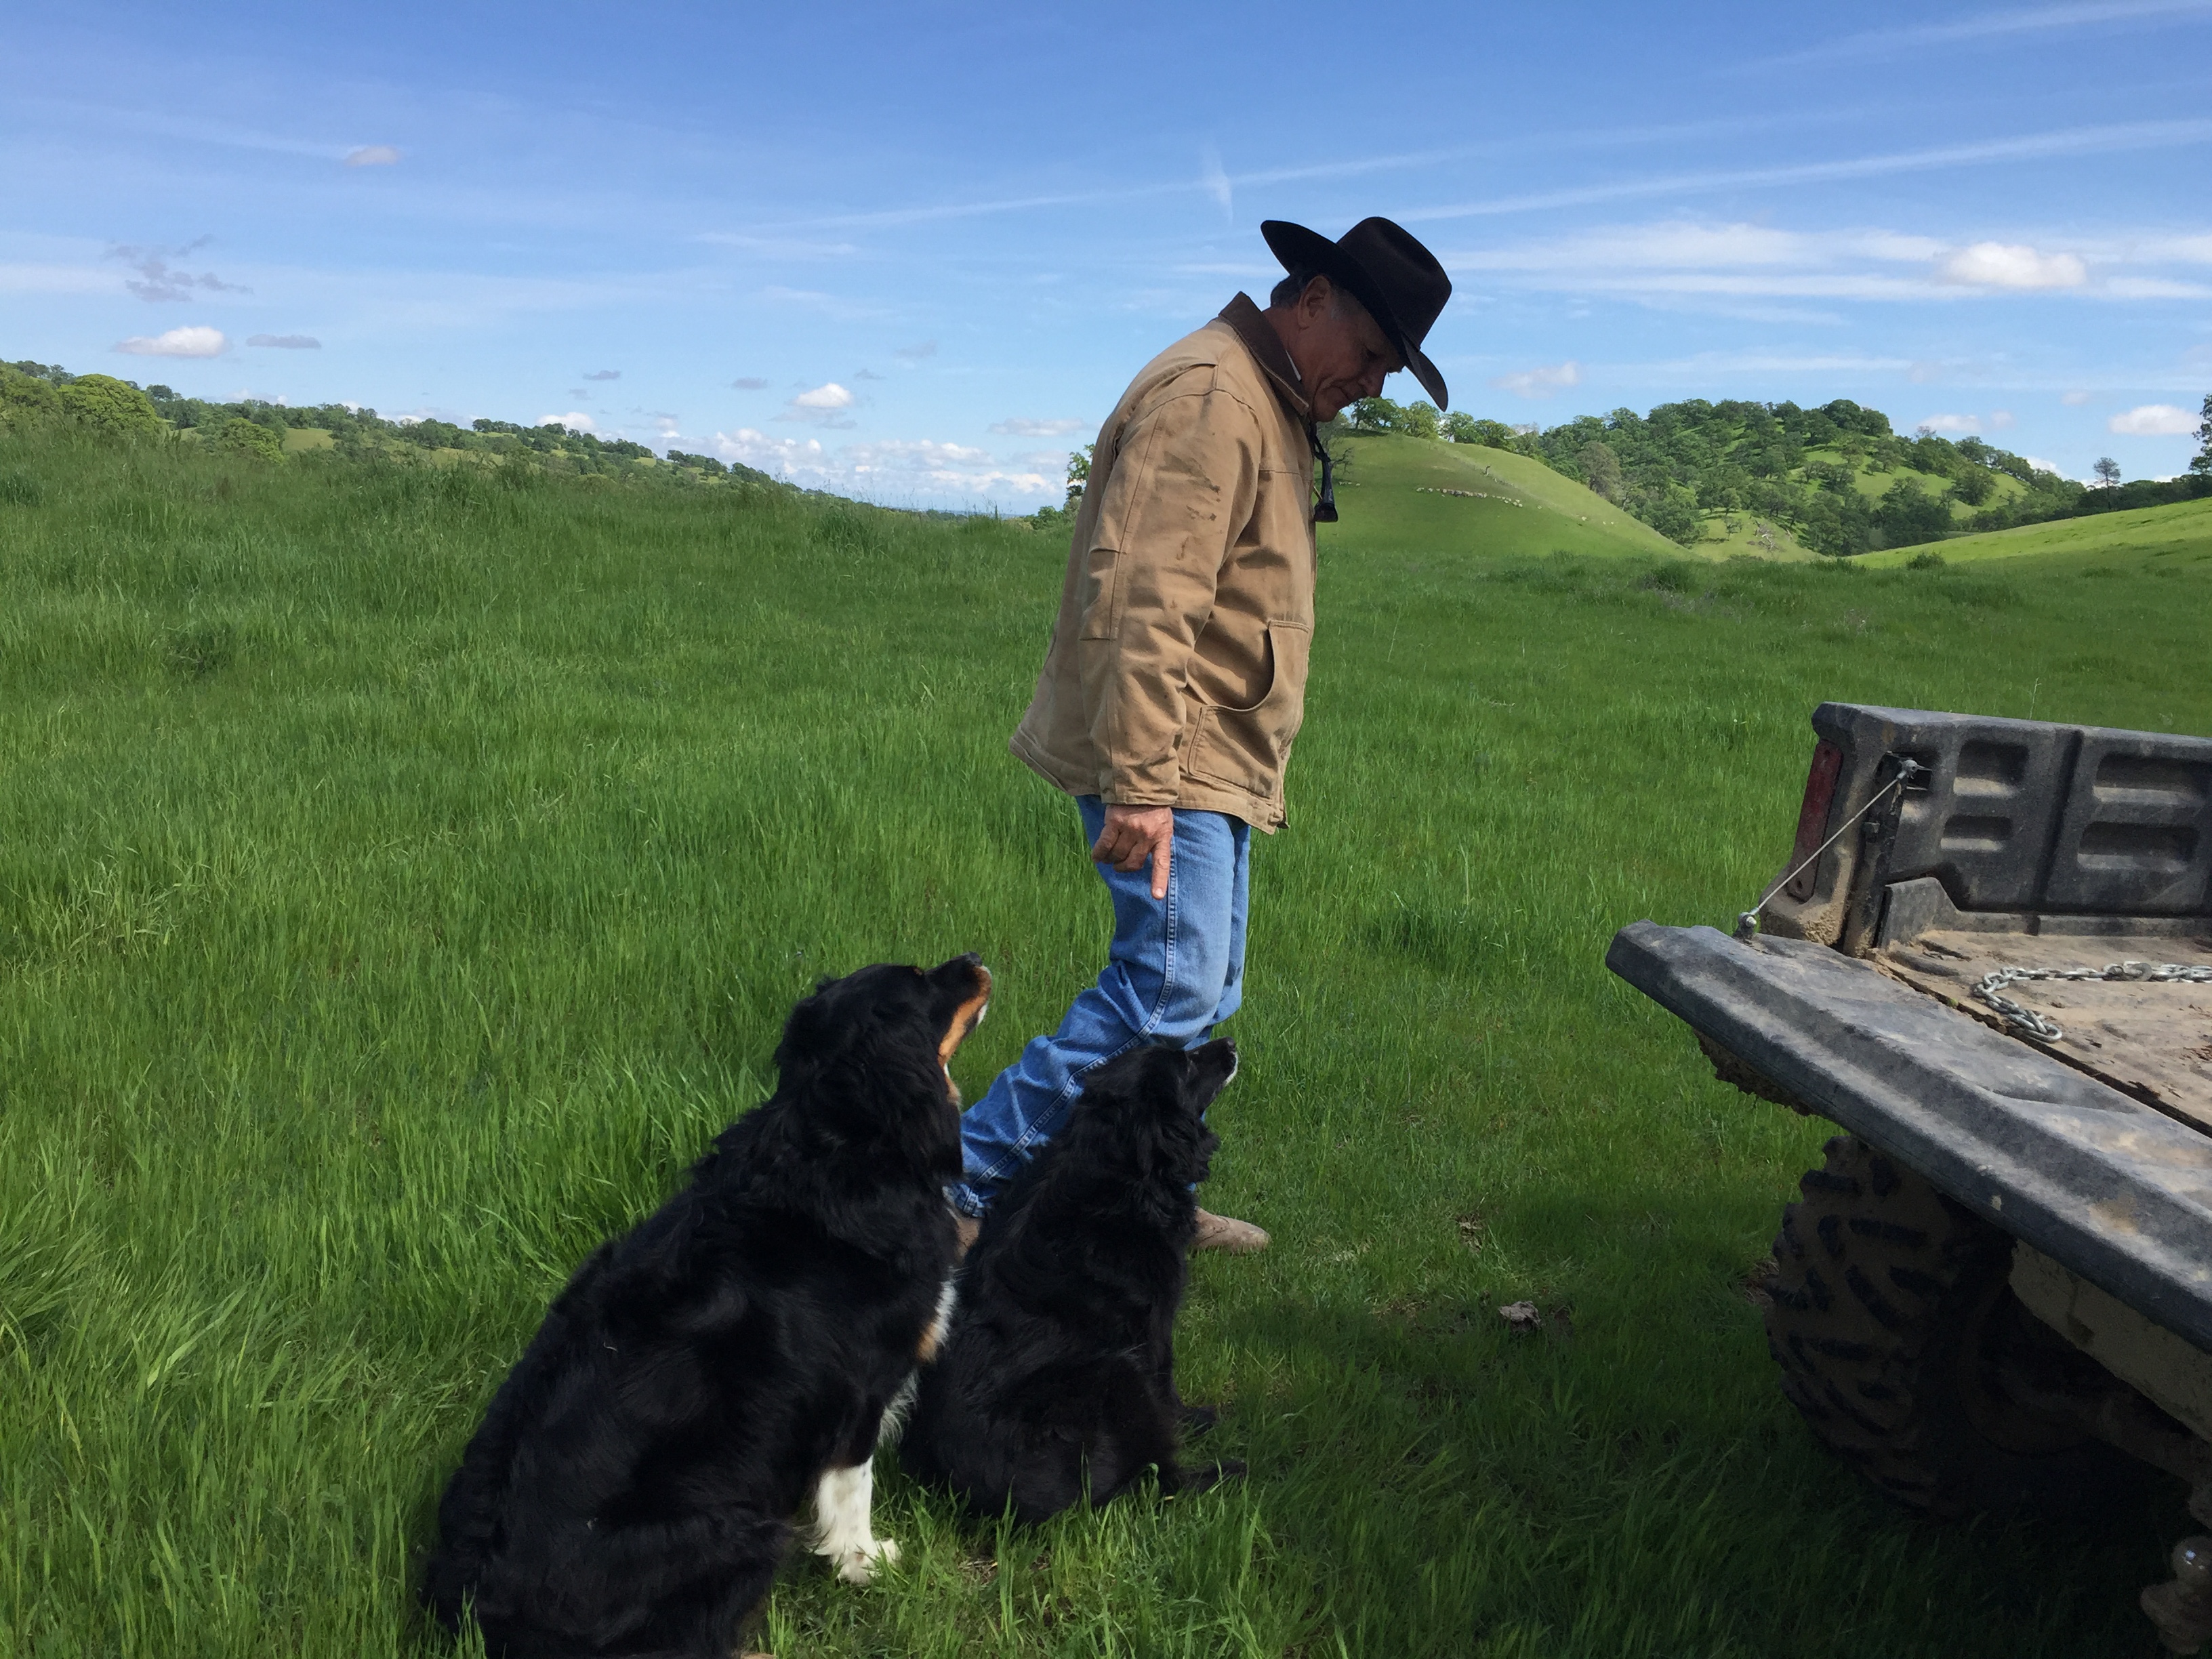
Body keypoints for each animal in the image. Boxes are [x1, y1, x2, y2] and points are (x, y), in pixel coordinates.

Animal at [422, 956, 995, 1659]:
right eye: (922, 980)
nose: (975, 961)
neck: (838, 1148)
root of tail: (480, 1612)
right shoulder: (861, 1387)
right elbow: (852, 1488)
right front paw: (867, 1563)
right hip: (741, 1531)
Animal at [898, 1044, 1247, 1530]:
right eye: (1186, 1065)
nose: (1230, 1044)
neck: (1115, 1162)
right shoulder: (1154, 1325)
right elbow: (1167, 1387)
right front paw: (1192, 1419)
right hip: (1119, 1374)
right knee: (1162, 1479)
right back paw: (1227, 1472)